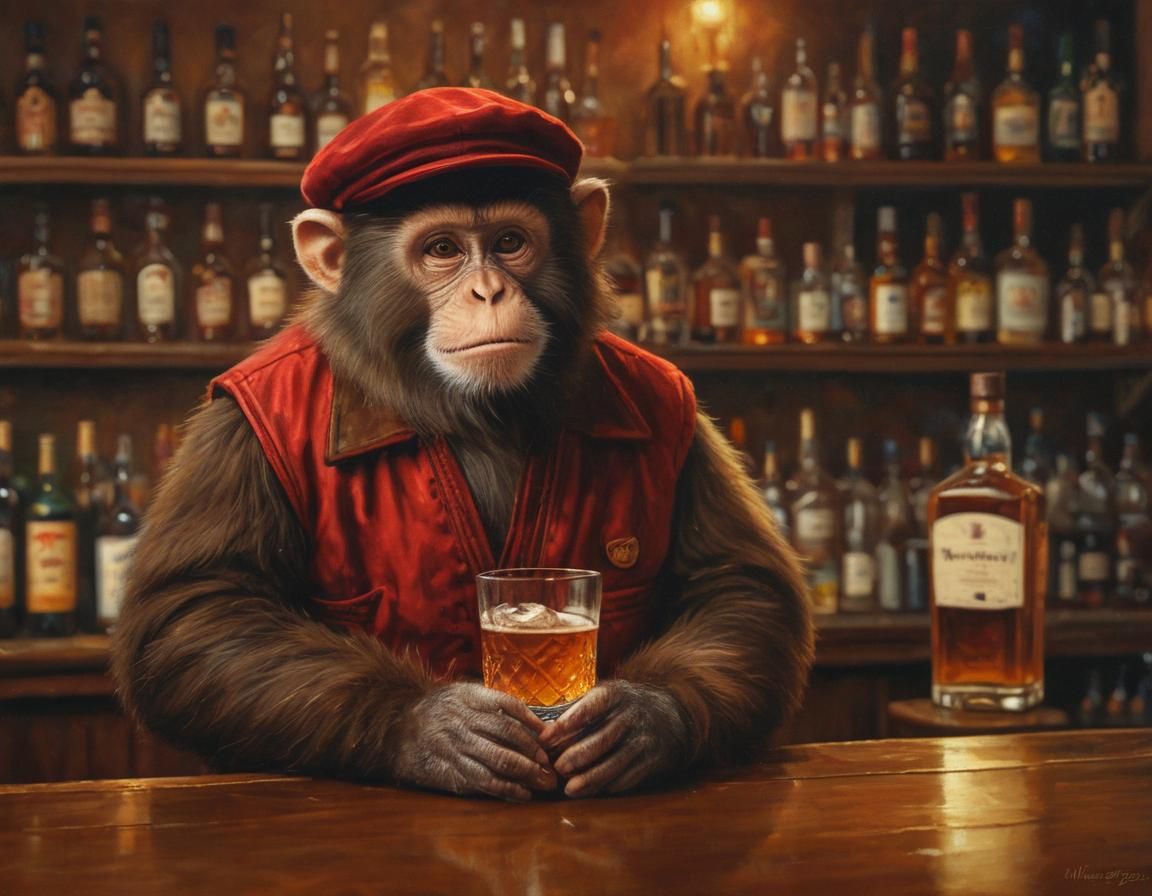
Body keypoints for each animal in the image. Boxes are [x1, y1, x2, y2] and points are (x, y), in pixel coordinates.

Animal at [112, 89, 813, 801]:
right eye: (443, 248)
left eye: (509, 242)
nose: (489, 290)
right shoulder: (233, 434)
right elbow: (202, 607)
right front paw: (435, 729)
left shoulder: (679, 408)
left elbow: (734, 582)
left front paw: (642, 720)